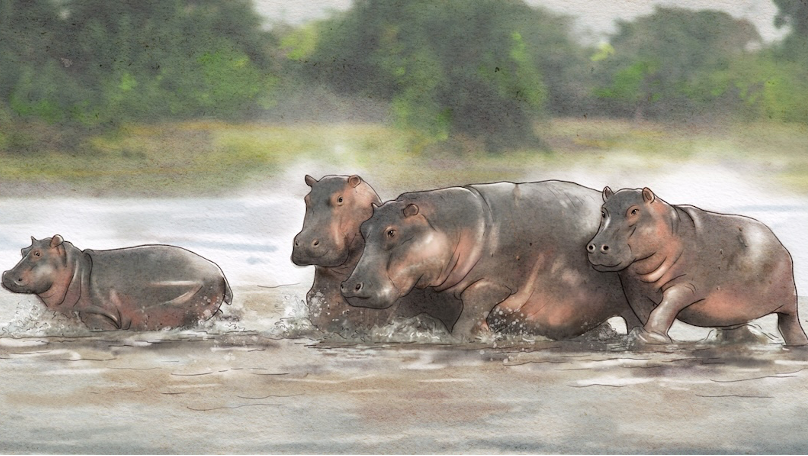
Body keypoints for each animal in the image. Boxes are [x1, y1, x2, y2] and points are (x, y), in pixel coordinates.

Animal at [2, 235, 232, 331]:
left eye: (38, 253)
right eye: (23, 250)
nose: (6, 275)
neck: (76, 270)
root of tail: (220, 273)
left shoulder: (98, 315)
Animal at [340, 180, 640, 340]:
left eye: (392, 231)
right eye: (364, 228)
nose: (350, 285)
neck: (450, 225)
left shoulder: (493, 284)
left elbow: (467, 319)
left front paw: (479, 335)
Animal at [587, 186, 808, 346]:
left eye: (634, 210)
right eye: (603, 212)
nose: (596, 246)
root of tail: (780, 244)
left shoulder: (686, 286)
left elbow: (664, 309)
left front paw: (646, 339)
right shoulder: (634, 291)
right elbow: (644, 314)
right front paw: (637, 335)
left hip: (788, 301)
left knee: (790, 323)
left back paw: (797, 343)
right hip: (732, 310)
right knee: (736, 327)